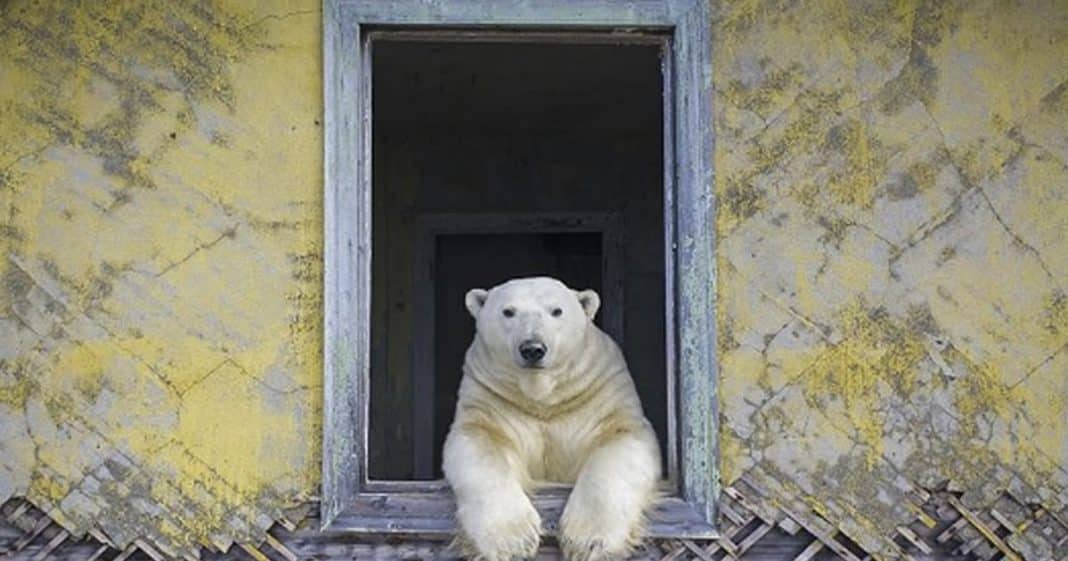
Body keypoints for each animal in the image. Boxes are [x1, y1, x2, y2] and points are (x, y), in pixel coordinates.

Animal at [440, 275, 657, 559]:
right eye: (508, 311)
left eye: (557, 311)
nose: (533, 348)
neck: (543, 399)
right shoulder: (491, 398)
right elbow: (480, 443)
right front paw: (513, 542)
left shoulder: (600, 391)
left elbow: (620, 440)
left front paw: (588, 541)